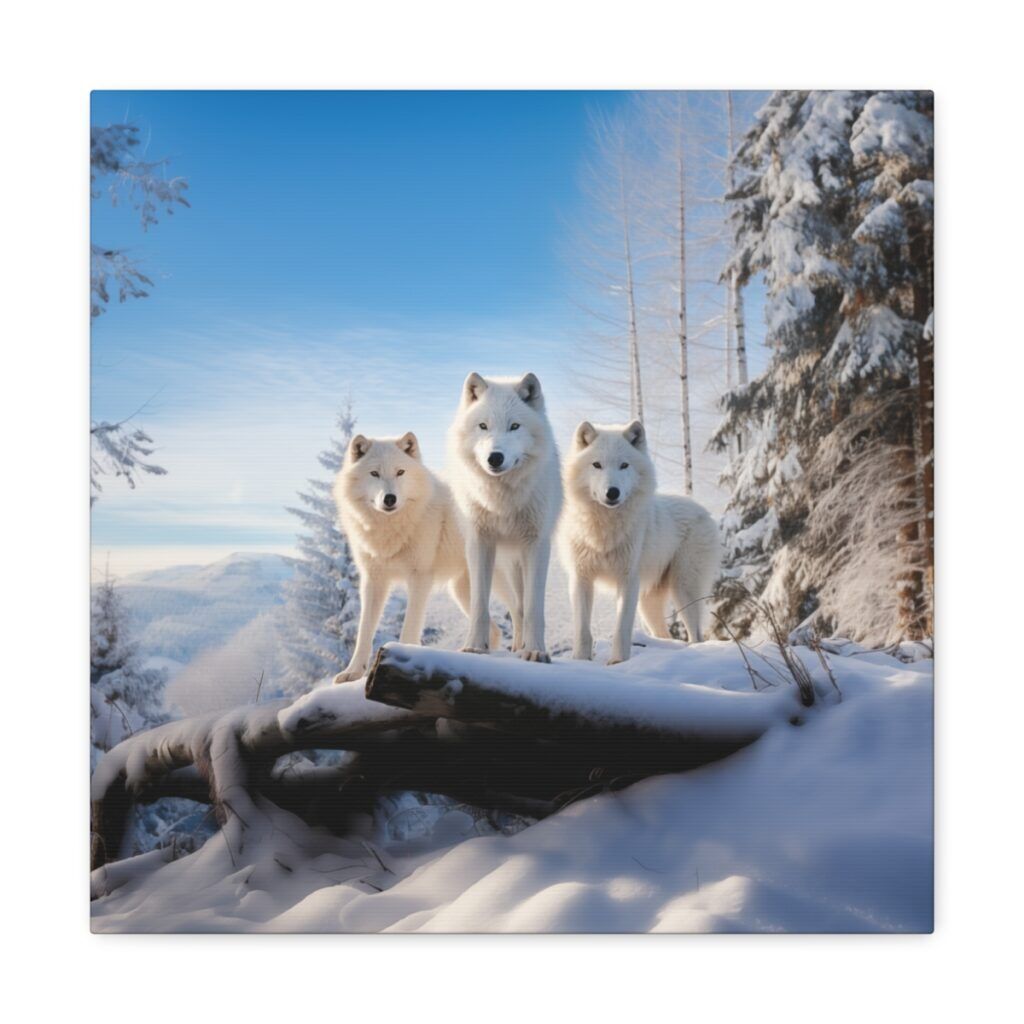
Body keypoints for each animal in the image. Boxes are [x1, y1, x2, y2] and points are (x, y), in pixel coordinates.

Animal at [331, 431, 500, 683]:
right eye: (374, 473)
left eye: (400, 472)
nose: (390, 498)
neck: (391, 527)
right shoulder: (373, 580)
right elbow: (364, 630)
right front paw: (352, 673)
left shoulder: (420, 577)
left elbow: (410, 625)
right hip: (463, 591)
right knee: (495, 629)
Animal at [447, 372, 563, 662]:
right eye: (483, 426)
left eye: (515, 426)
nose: (495, 457)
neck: (502, 501)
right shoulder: (479, 543)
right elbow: (480, 605)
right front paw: (474, 647)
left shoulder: (537, 545)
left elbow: (534, 608)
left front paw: (535, 651)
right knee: (516, 608)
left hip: (519, 559)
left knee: (522, 605)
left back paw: (522, 647)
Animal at [559, 420, 721, 663]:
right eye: (596, 465)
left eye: (624, 465)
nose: (612, 492)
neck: (603, 529)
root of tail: (701, 508)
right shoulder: (581, 578)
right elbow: (582, 629)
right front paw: (580, 661)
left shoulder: (628, 580)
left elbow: (622, 627)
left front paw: (617, 662)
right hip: (649, 604)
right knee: (664, 634)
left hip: (683, 590)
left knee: (696, 636)